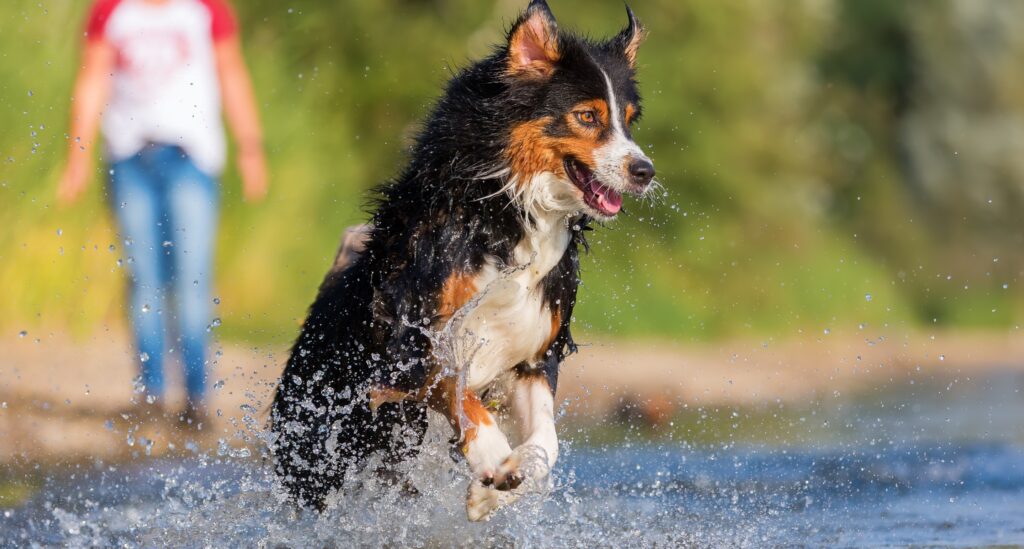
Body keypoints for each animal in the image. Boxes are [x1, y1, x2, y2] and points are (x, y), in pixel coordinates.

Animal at [270, 0, 655, 520]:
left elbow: (546, 445)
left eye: (628, 119)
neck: (510, 212)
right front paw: (492, 455)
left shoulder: (535, 352)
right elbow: (458, 390)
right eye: (588, 116)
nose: (645, 171)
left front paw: (495, 490)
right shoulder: (410, 339)